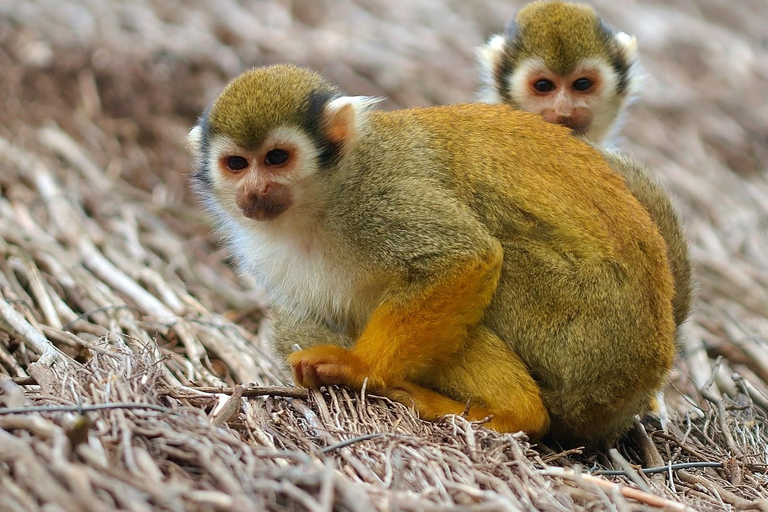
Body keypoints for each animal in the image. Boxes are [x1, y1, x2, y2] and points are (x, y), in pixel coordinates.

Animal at [188, 63, 676, 448]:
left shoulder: (377, 195)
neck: (320, 201)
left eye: (276, 158)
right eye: (237, 164)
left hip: (589, 332)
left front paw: (359, 367)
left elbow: (463, 258)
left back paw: (513, 414)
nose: (256, 191)